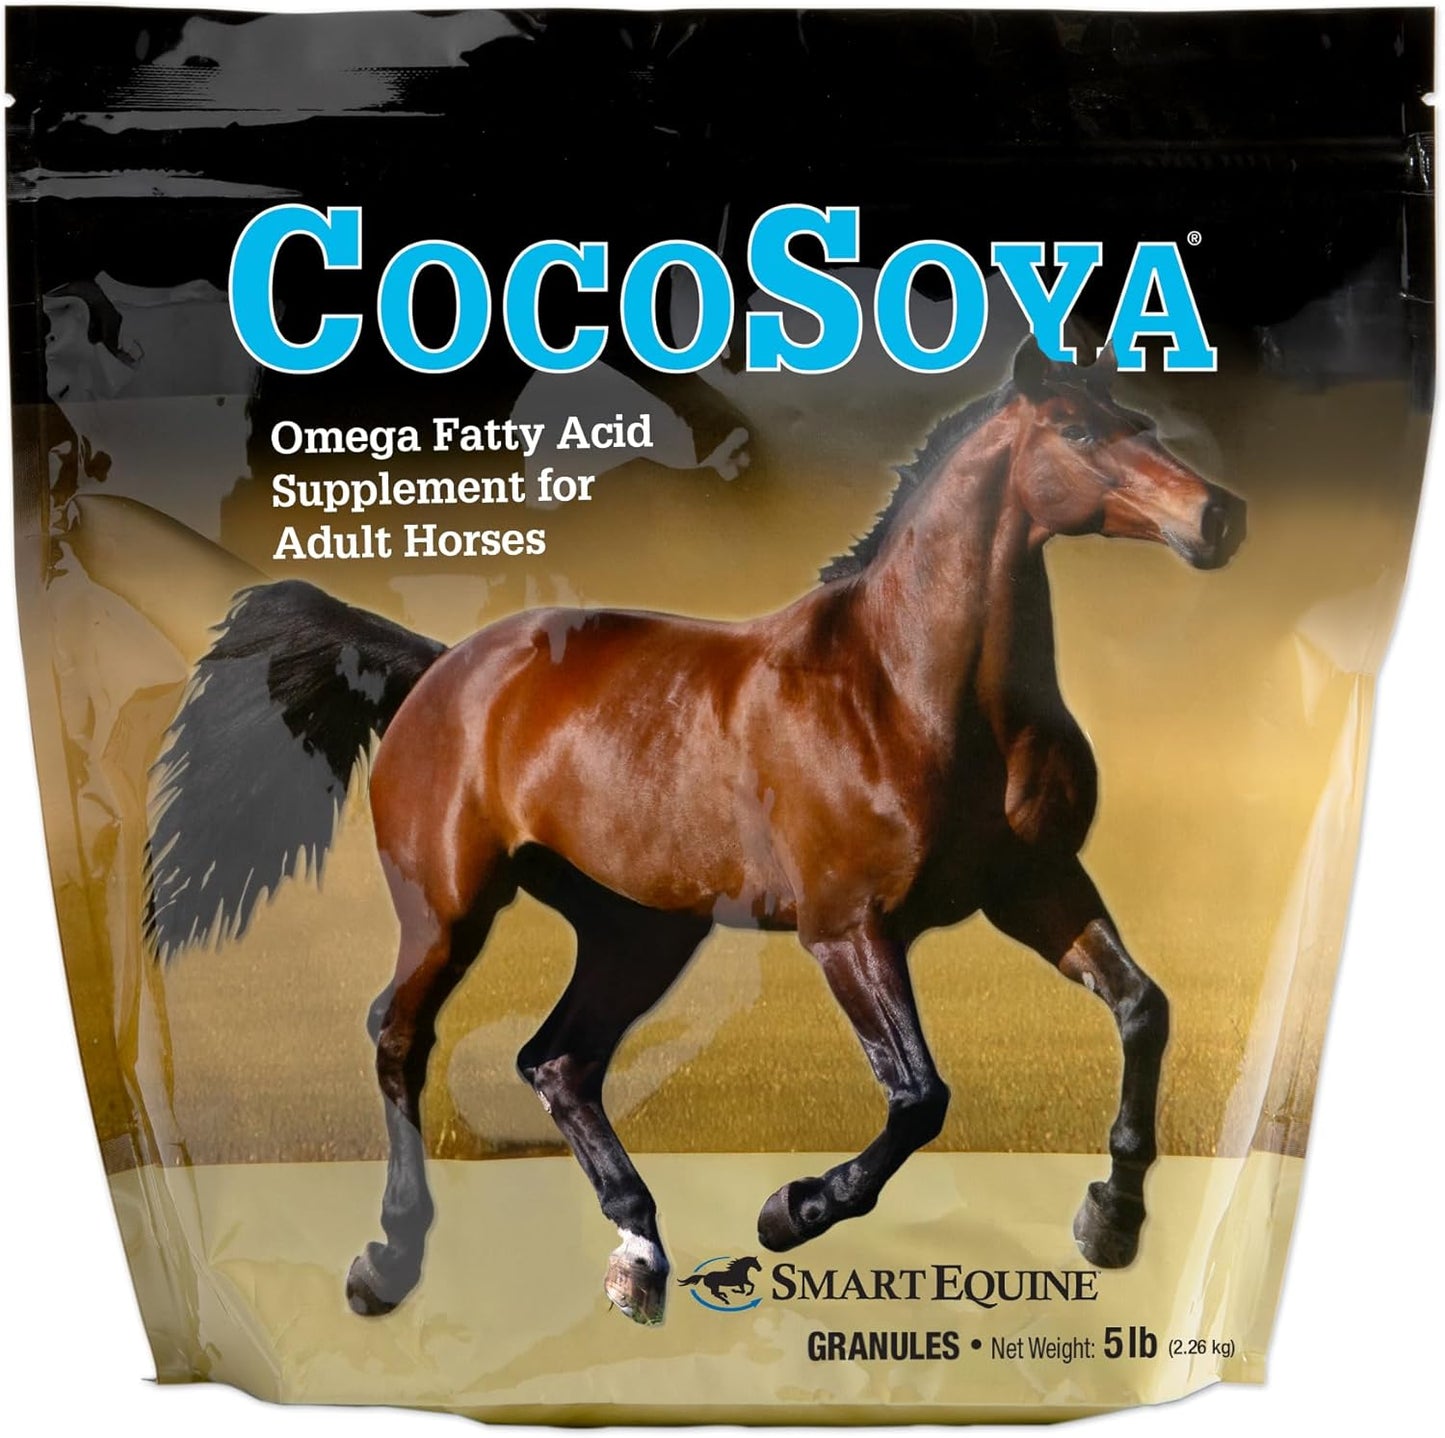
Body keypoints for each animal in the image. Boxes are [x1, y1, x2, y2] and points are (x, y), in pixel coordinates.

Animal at [145, 336, 1246, 1327]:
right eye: (1078, 431)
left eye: (1141, 421)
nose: (1217, 516)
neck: (906, 689)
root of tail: (437, 669)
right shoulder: (846, 929)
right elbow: (918, 1096)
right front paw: (790, 1211)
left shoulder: (1036, 887)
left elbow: (1141, 1009)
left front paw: (1110, 1217)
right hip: (451, 911)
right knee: (400, 1037)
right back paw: (387, 1261)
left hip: (638, 927)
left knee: (558, 1061)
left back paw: (637, 1255)